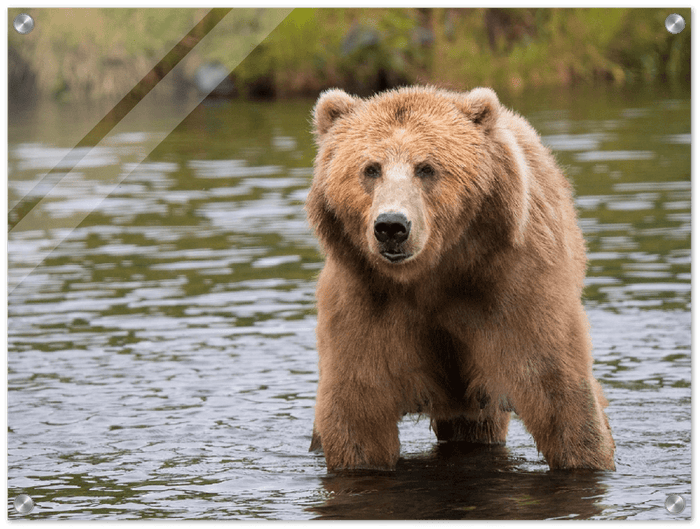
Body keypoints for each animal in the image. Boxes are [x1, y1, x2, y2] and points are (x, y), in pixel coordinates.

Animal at [305, 85, 615, 472]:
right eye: (371, 169)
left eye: (426, 168)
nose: (391, 226)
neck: (434, 274)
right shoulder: (365, 301)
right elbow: (358, 410)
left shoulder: (514, 288)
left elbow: (558, 391)